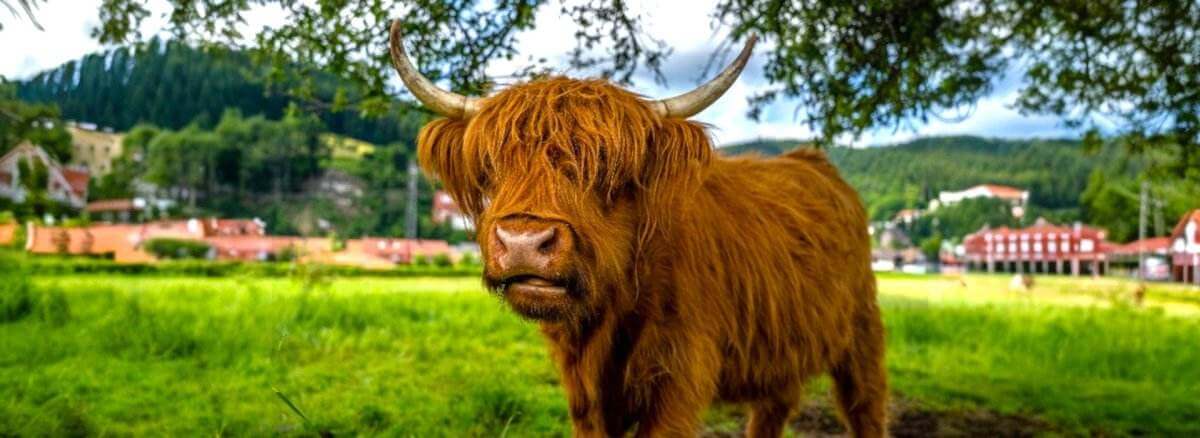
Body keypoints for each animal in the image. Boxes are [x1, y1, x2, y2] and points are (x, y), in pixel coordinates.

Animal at [389, 20, 887, 437]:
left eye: (607, 171)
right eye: (492, 166)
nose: (524, 243)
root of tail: (814, 163)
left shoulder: (678, 379)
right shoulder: (585, 396)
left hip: (862, 331)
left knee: (865, 405)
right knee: (773, 408)